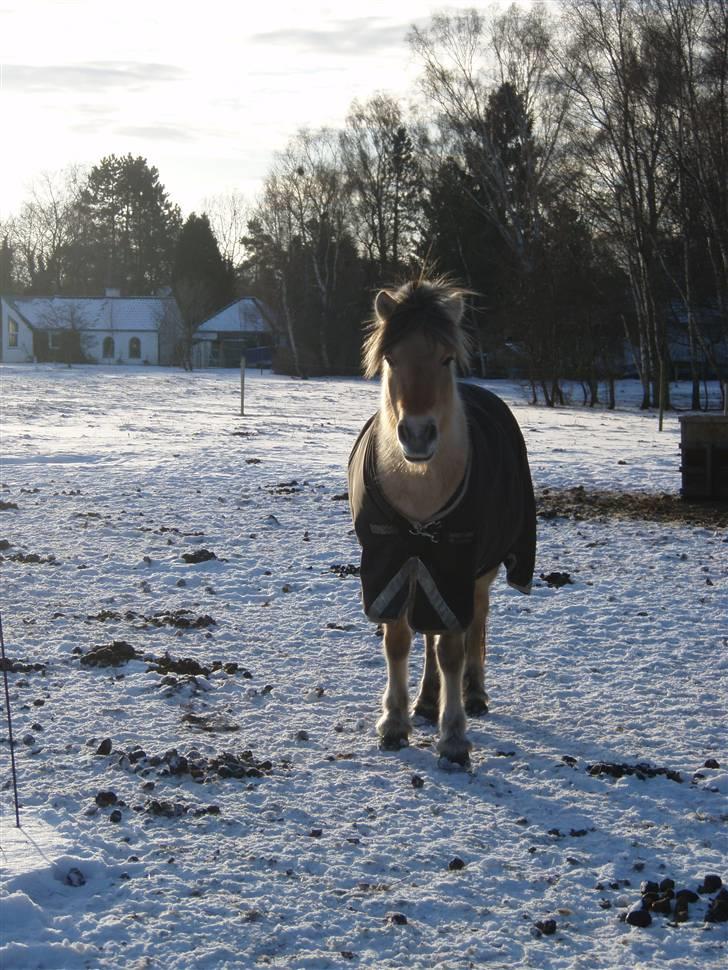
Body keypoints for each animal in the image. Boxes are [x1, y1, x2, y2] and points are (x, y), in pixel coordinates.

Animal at [346, 278, 536, 764]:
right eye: (392, 358)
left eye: (446, 358)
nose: (417, 434)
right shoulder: (389, 563)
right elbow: (399, 641)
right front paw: (395, 722)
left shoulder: (455, 566)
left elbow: (453, 647)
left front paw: (453, 737)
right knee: (428, 633)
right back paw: (427, 701)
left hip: (478, 573)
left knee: (475, 625)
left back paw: (473, 694)